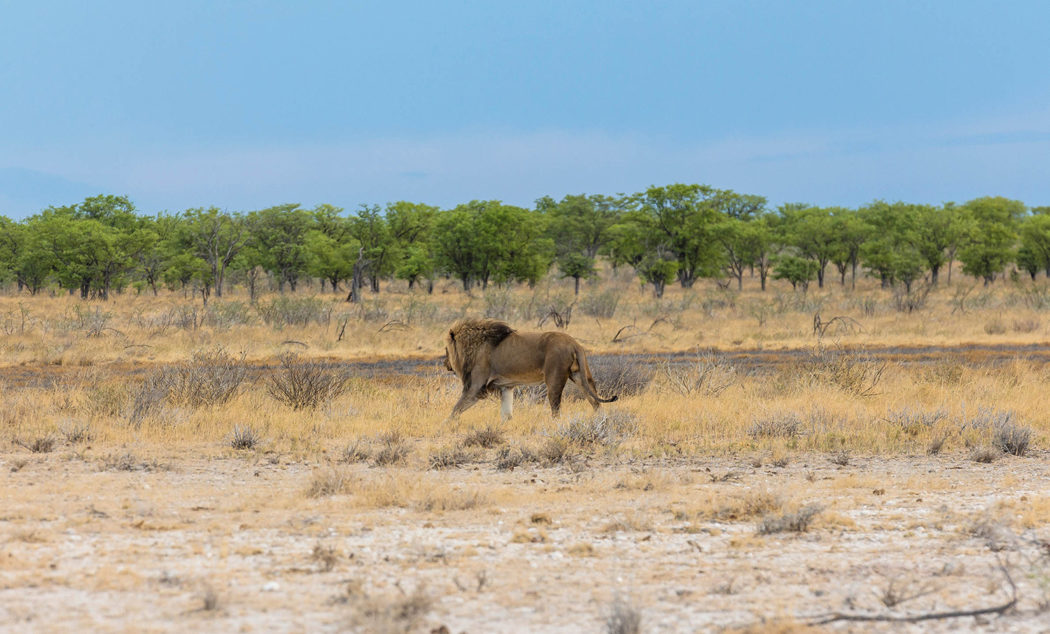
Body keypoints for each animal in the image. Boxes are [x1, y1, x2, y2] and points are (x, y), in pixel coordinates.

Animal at [440, 317, 613, 421]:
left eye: (446, 350)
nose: (445, 363)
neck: (473, 347)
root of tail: (573, 343)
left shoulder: (476, 387)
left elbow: (455, 410)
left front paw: (446, 425)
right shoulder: (506, 387)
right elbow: (506, 414)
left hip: (554, 380)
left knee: (556, 410)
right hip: (581, 377)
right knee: (595, 402)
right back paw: (601, 421)